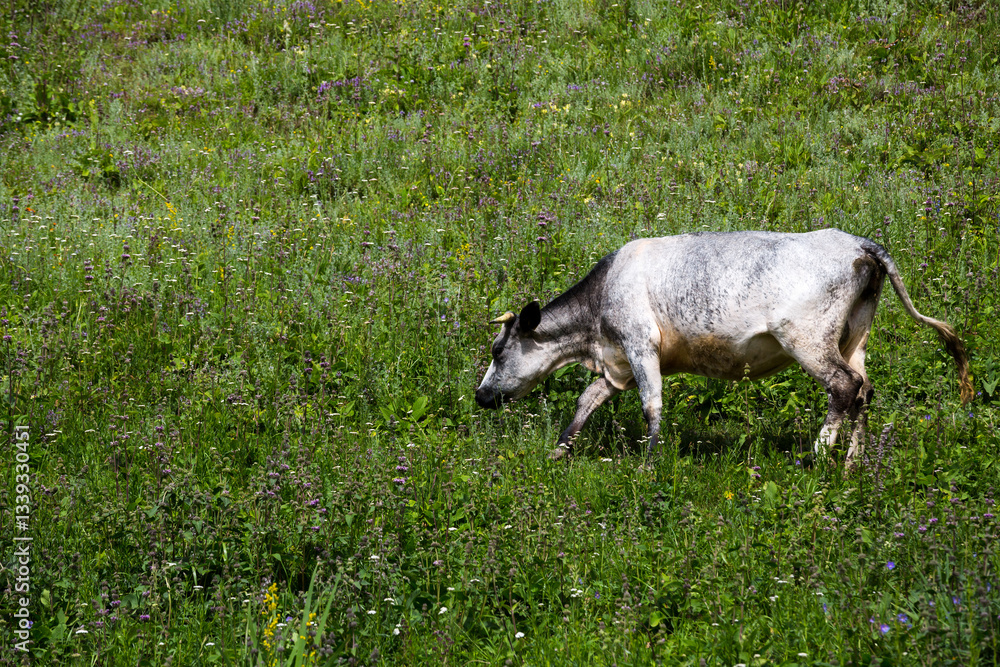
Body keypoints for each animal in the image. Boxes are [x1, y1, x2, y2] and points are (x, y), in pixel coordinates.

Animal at [475, 229, 972, 467]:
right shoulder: (617, 364)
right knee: (865, 390)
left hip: (809, 339)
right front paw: (559, 453)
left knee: (844, 386)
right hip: (854, 337)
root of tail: (857, 242)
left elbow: (652, 405)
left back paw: (815, 455)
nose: (480, 396)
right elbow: (585, 402)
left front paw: (648, 464)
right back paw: (852, 464)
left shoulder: (639, 345)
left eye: (498, 351)